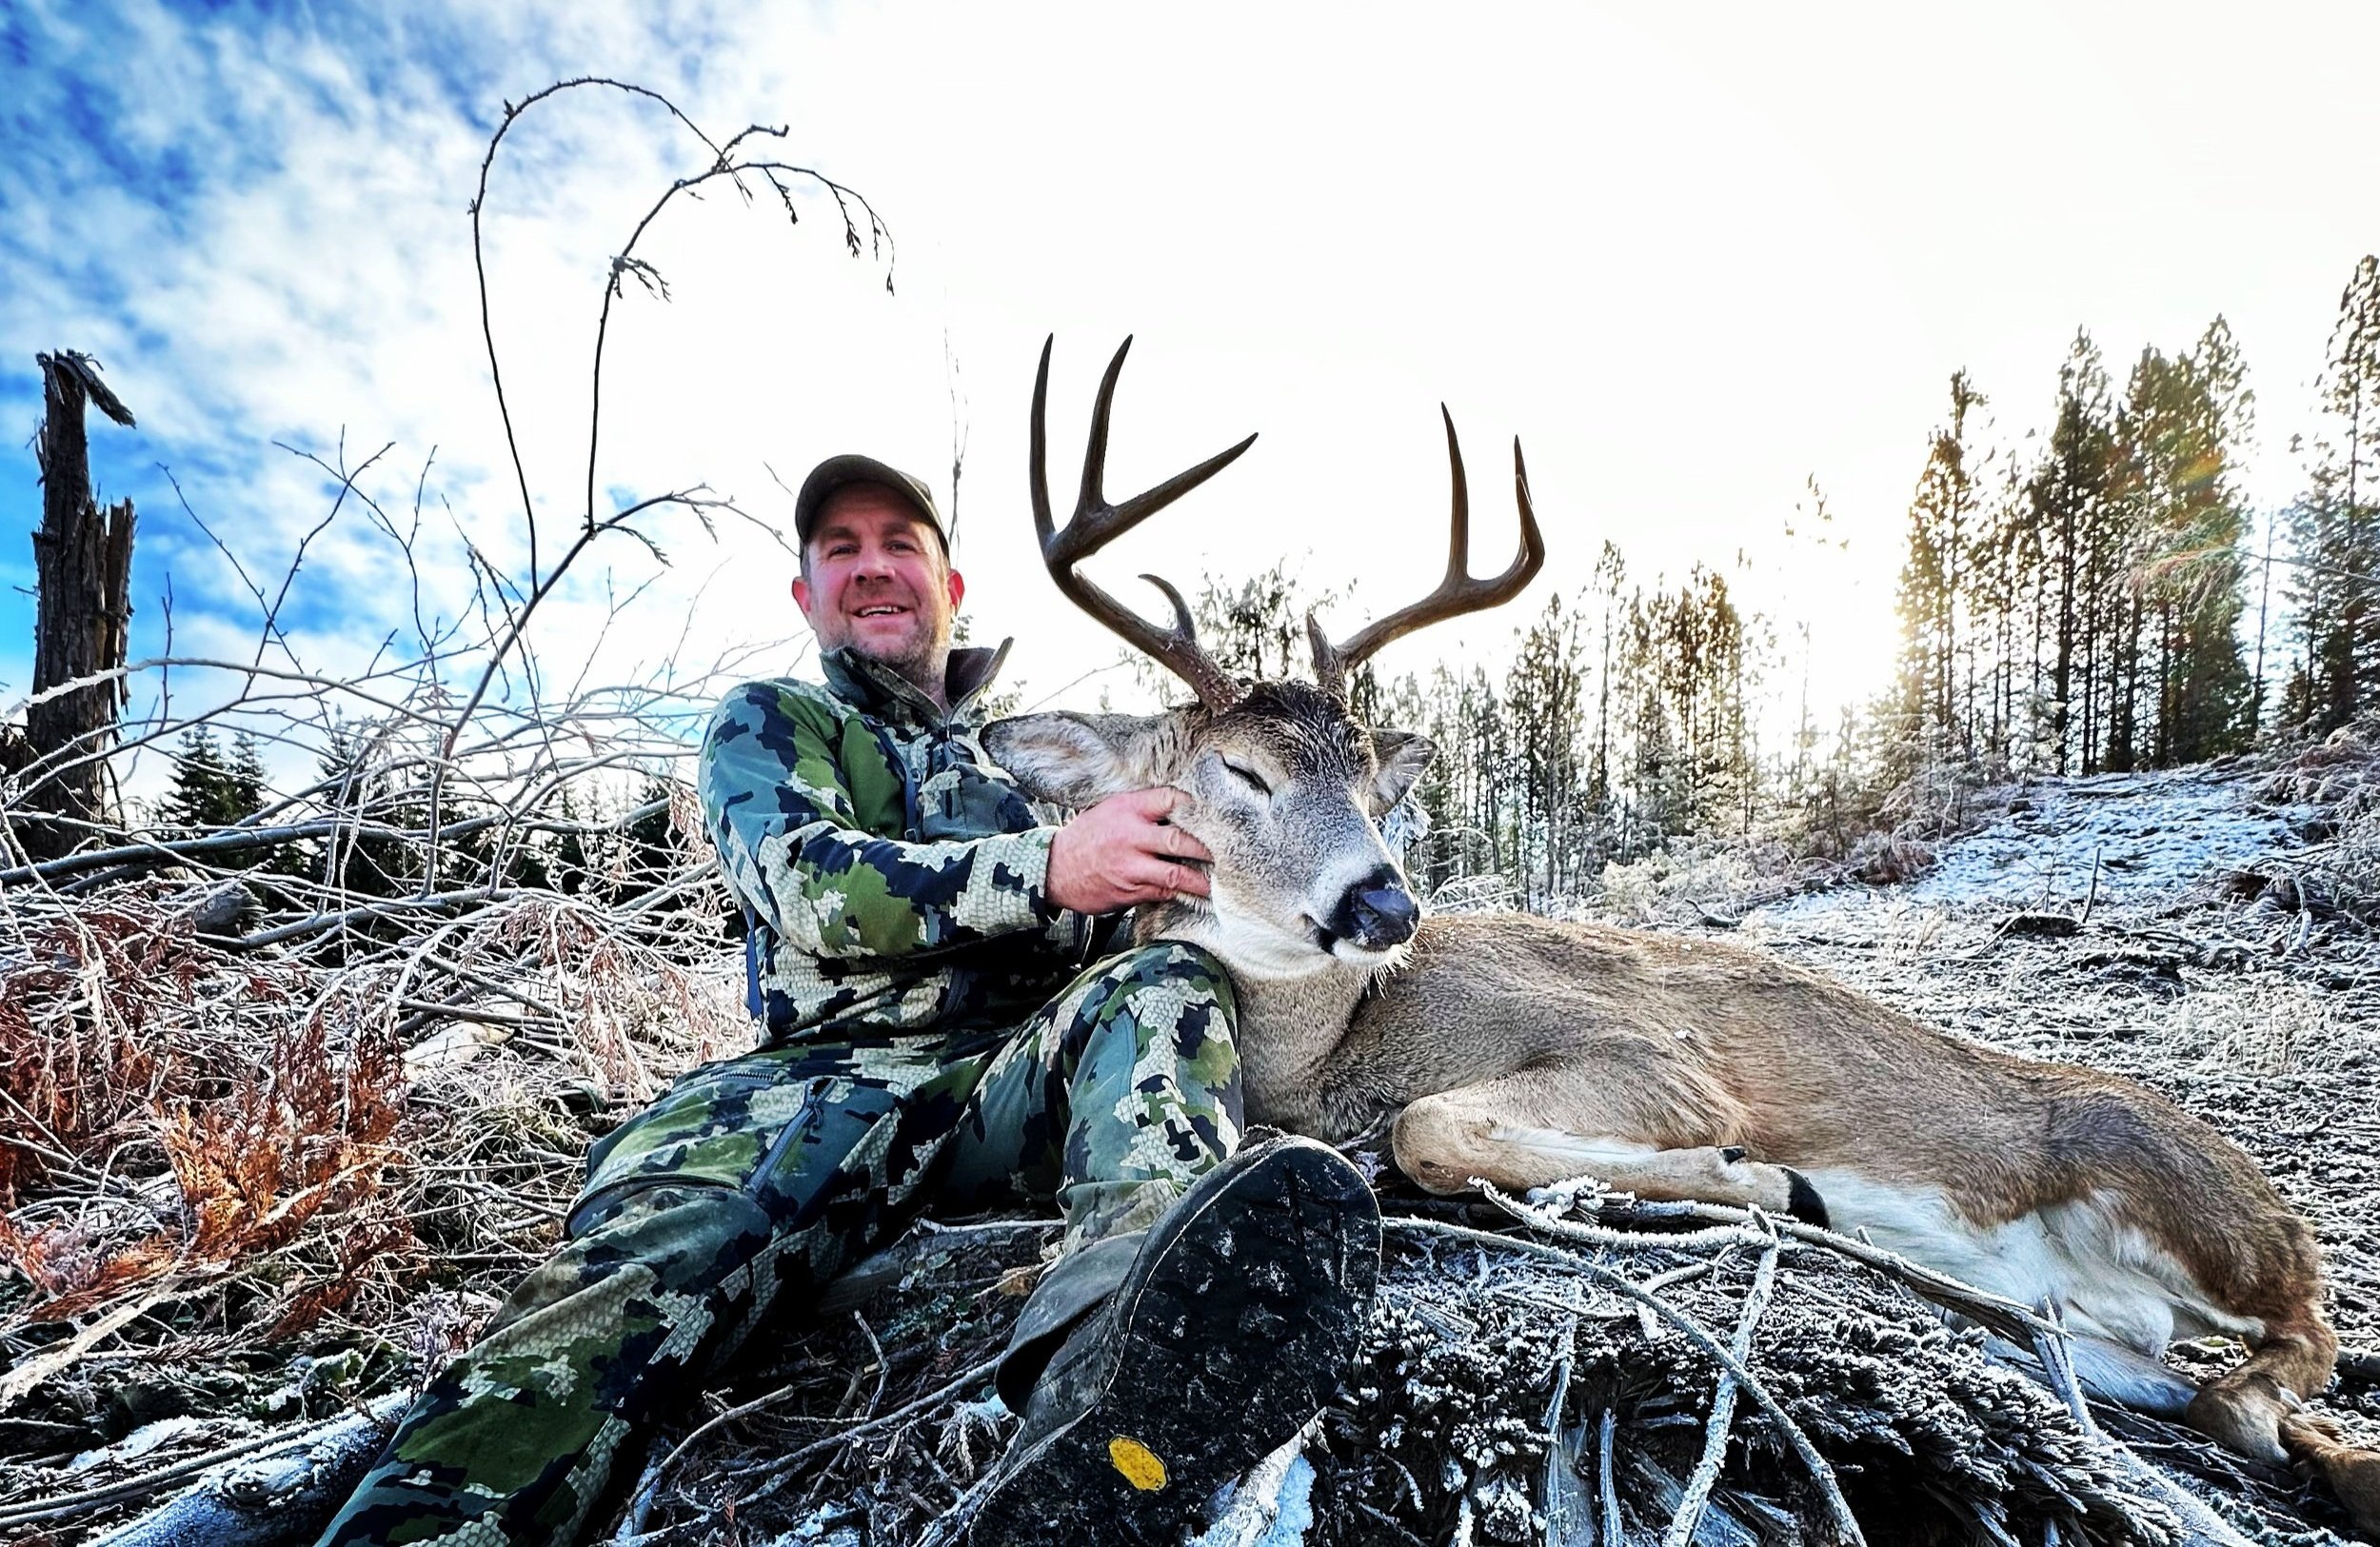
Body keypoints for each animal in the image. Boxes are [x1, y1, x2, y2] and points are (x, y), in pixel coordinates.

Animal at [982, 337, 2380, 1532]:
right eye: (1240, 774)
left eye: (1377, 779)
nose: (1384, 904)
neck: (1341, 1046)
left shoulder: (1656, 1055)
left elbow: (1434, 1123)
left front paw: (1756, 1178)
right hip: (2106, 1315)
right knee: (2167, 1362)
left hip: (2167, 1175)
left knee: (2307, 1322)